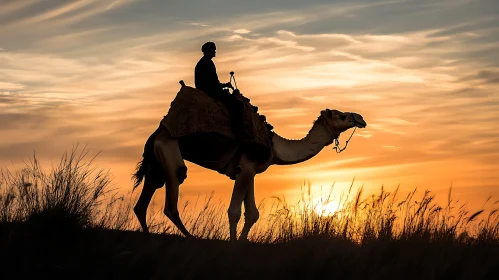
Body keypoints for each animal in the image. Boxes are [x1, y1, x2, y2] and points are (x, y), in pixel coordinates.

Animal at [132, 84, 368, 242]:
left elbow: (252, 213)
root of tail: (157, 132)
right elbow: (235, 211)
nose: (361, 118)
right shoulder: (246, 167)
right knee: (172, 197)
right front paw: (233, 244)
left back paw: (148, 237)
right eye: (341, 115)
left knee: (143, 201)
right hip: (169, 147)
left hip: (156, 161)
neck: (275, 146)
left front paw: (243, 242)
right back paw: (191, 238)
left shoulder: (248, 170)